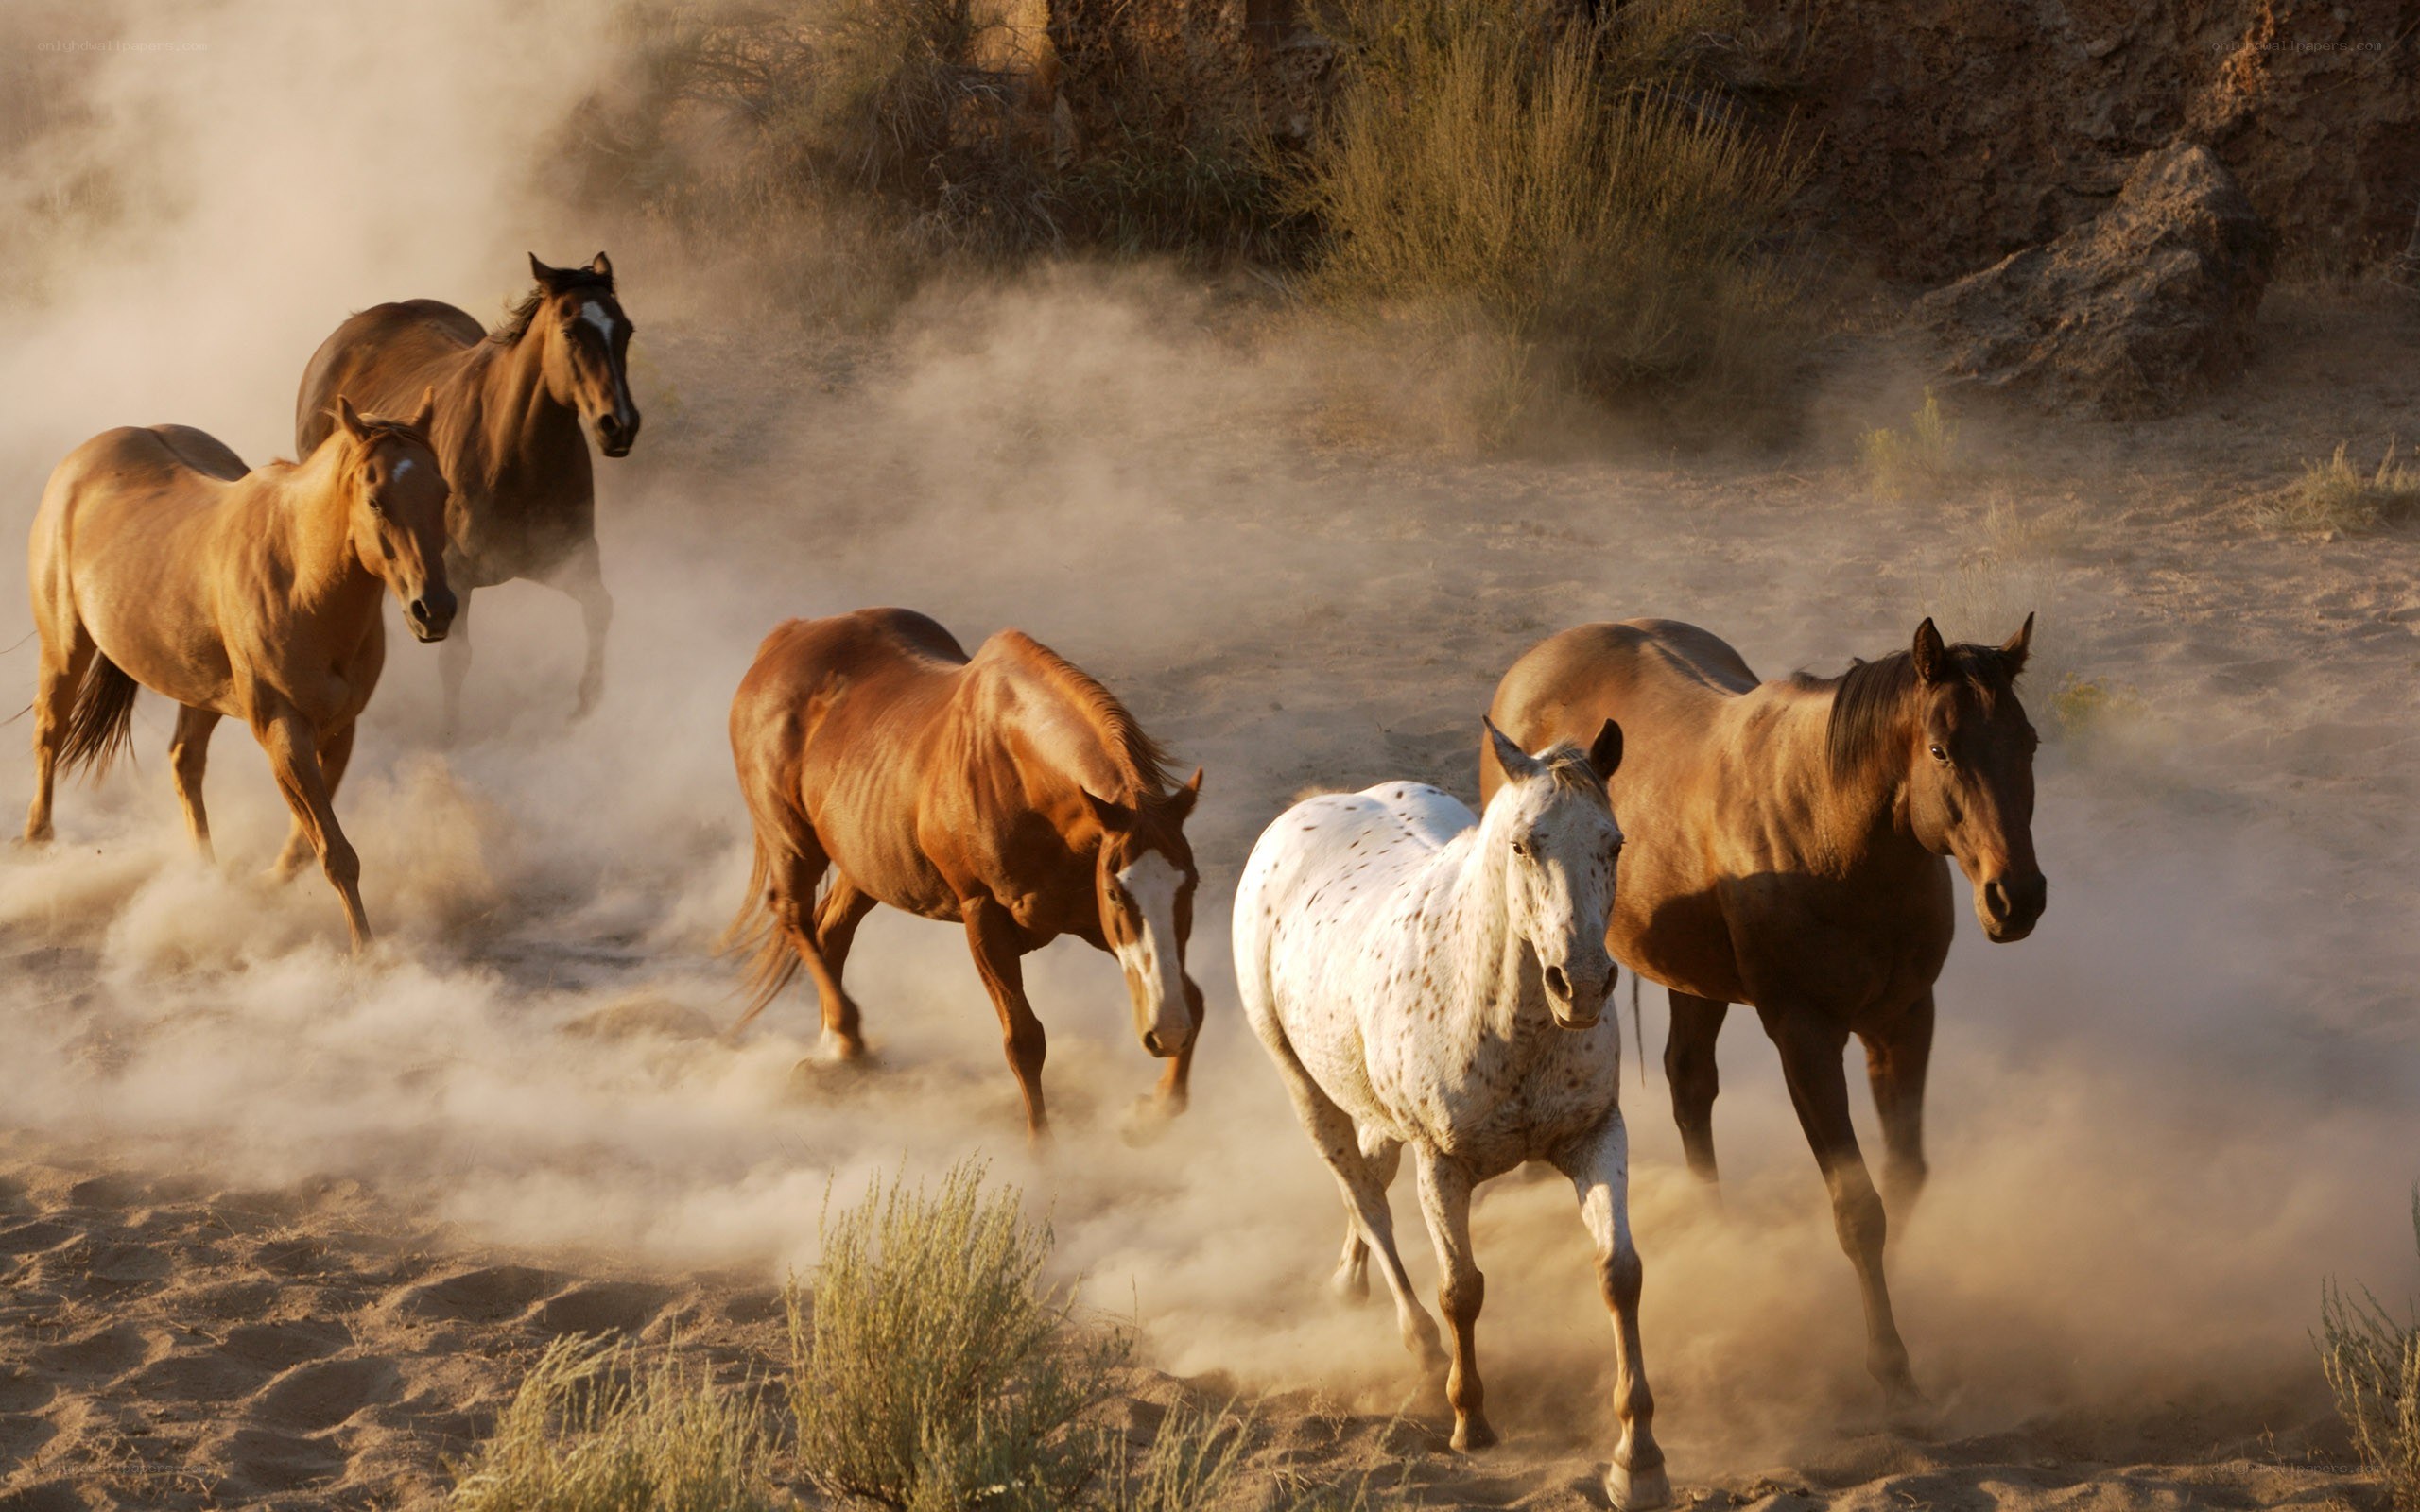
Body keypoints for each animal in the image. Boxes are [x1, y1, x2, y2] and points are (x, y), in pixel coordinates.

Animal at [23, 396, 457, 952]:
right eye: (377, 500)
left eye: (442, 492)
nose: (435, 610)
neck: (301, 581)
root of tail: (83, 459)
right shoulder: (282, 730)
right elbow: (336, 853)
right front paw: (366, 954)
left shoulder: (339, 730)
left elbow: (309, 848)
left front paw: (265, 887)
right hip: (64, 648)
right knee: (50, 733)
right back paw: (38, 844)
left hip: (199, 690)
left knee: (184, 762)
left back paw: (207, 877)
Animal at [294, 253, 639, 738]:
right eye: (570, 332)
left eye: (625, 329)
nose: (620, 425)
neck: (512, 453)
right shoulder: (451, 577)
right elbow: (455, 660)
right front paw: (451, 735)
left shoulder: (569, 558)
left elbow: (599, 609)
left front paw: (588, 705)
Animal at [723, 608, 1206, 1137]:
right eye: (1117, 893)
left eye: (1191, 886)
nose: (1166, 1031)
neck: (1018, 773)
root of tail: (787, 636)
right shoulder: (985, 918)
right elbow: (1024, 1041)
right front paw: (1043, 1150)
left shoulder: (1086, 919)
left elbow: (1194, 997)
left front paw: (1154, 1111)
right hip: (793, 843)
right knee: (794, 916)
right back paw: (846, 1039)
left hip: (864, 864)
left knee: (831, 931)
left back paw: (835, 1052)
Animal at [1233, 719, 1668, 1510]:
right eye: (1524, 844)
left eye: (1614, 843)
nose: (1582, 984)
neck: (1504, 1018)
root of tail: (1313, 806)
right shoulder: (1444, 1166)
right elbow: (1461, 1289)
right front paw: (1471, 1421)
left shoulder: (1595, 1138)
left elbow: (1619, 1274)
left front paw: (1638, 1459)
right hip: (1303, 1087)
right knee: (1366, 1198)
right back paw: (1419, 1345)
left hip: (1370, 1105)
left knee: (1370, 1178)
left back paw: (1349, 1281)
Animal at [1483, 616, 2045, 1408]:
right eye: (1940, 748)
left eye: (2028, 743)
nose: (2016, 898)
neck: (1837, 837)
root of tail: (1537, 662)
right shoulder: (1805, 1038)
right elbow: (1857, 1207)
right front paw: (1888, 1363)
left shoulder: (1904, 1021)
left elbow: (1904, 1177)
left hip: (1693, 979)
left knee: (1690, 1085)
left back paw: (1718, 1232)